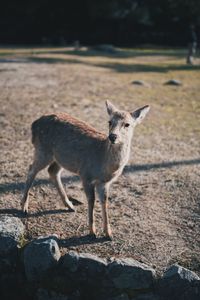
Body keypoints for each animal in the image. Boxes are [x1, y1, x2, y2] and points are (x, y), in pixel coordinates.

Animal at [21, 101, 149, 239]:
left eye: (127, 124)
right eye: (109, 122)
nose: (112, 136)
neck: (104, 163)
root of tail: (34, 124)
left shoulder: (104, 183)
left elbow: (105, 201)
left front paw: (108, 233)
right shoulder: (85, 174)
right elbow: (91, 200)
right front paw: (92, 232)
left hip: (61, 158)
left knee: (52, 171)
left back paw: (69, 205)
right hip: (43, 150)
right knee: (31, 169)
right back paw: (24, 207)